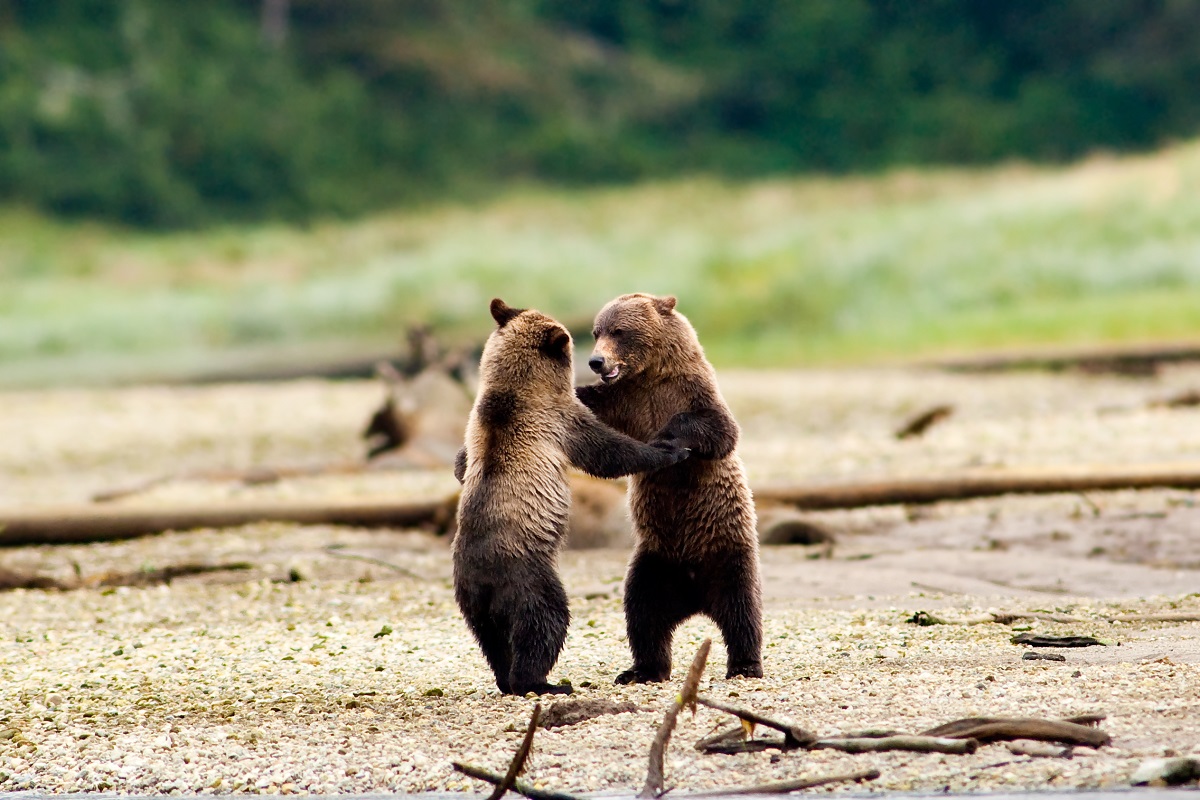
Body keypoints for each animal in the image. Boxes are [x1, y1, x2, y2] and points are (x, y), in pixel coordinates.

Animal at [576, 292, 763, 681]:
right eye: (596, 331)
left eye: (619, 331)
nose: (596, 361)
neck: (649, 377)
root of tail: (695, 598)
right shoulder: (622, 403)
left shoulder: (691, 392)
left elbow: (718, 429)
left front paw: (668, 439)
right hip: (655, 561)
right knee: (643, 611)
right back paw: (642, 669)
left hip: (727, 552)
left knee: (741, 608)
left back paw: (744, 665)